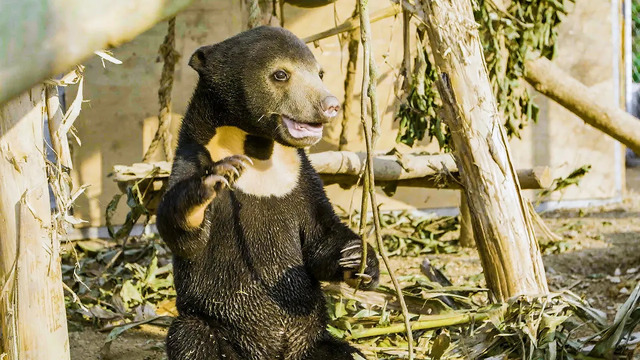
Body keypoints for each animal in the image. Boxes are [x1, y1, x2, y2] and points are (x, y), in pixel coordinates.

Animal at [156, 26, 380, 360]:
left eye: (320, 73)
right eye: (280, 74)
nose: (330, 105)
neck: (258, 151)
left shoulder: (301, 178)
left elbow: (320, 235)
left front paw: (358, 260)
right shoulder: (192, 157)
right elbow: (183, 234)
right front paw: (213, 181)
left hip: (313, 339)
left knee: (346, 354)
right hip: (218, 328)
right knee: (191, 336)